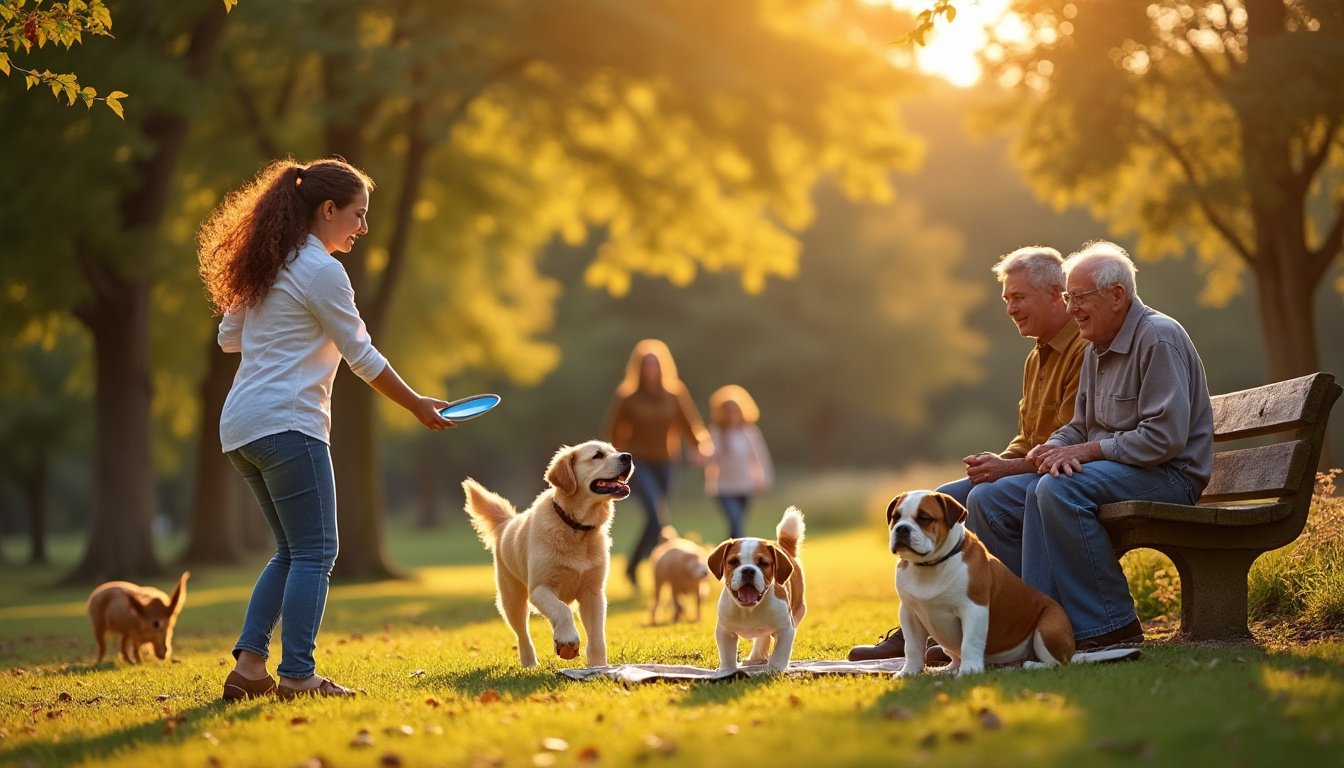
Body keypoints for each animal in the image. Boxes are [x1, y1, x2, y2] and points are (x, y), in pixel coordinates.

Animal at [462, 441, 628, 669]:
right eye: (597, 455)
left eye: (615, 450)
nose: (628, 457)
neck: (576, 528)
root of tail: (507, 522)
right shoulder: (540, 588)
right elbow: (561, 609)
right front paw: (567, 638)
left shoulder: (593, 593)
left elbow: (597, 637)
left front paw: (598, 667)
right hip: (512, 600)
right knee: (522, 634)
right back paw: (530, 663)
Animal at [709, 511, 801, 672]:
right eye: (733, 562)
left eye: (763, 563)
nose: (748, 570)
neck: (749, 610)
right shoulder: (725, 631)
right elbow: (727, 654)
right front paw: (727, 670)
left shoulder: (786, 629)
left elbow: (780, 652)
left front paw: (775, 669)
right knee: (761, 639)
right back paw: (754, 658)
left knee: (764, 638)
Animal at [887, 492, 1075, 677]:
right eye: (895, 518)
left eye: (924, 518)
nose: (902, 528)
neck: (930, 565)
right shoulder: (909, 613)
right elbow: (912, 647)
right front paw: (909, 672)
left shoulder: (974, 608)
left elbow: (970, 642)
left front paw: (970, 671)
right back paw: (945, 669)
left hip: (1049, 627)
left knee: (1057, 664)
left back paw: (1032, 665)